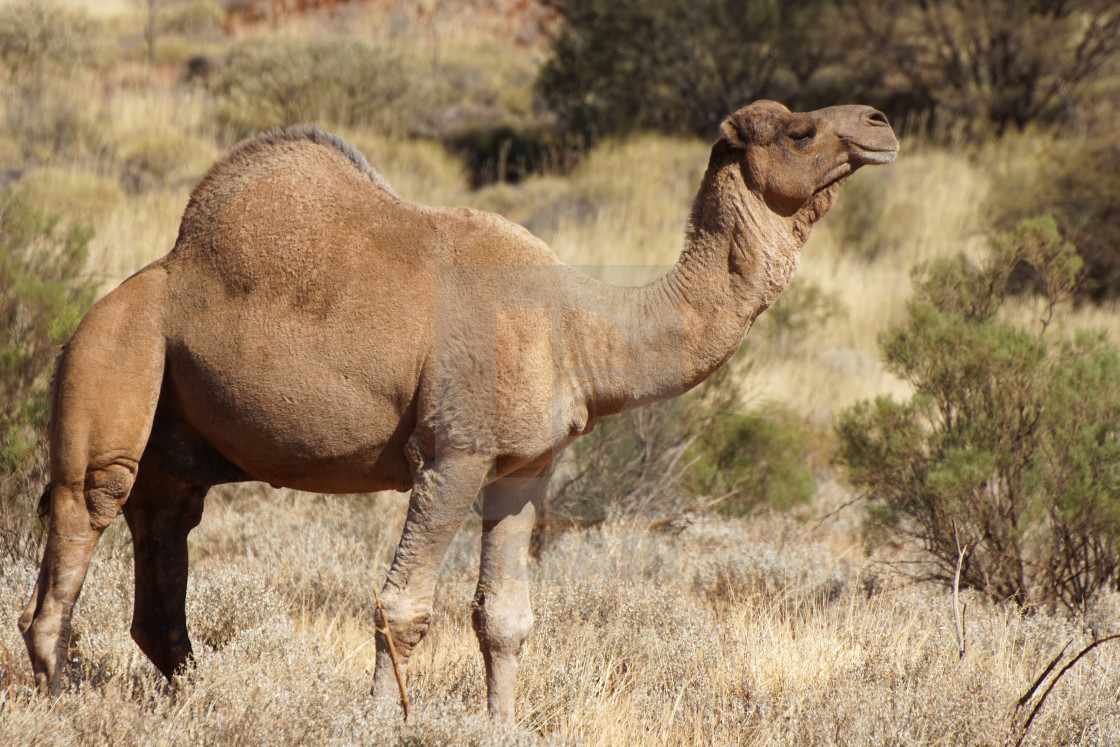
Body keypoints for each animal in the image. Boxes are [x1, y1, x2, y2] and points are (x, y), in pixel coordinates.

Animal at [19, 100, 900, 725]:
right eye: (800, 129)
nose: (881, 125)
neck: (580, 326)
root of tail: (125, 288)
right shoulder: (454, 452)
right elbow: (402, 606)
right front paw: (380, 720)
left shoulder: (524, 467)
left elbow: (504, 616)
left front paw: (501, 723)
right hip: (116, 354)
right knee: (85, 510)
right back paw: (61, 698)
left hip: (180, 437)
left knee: (164, 533)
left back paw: (187, 692)